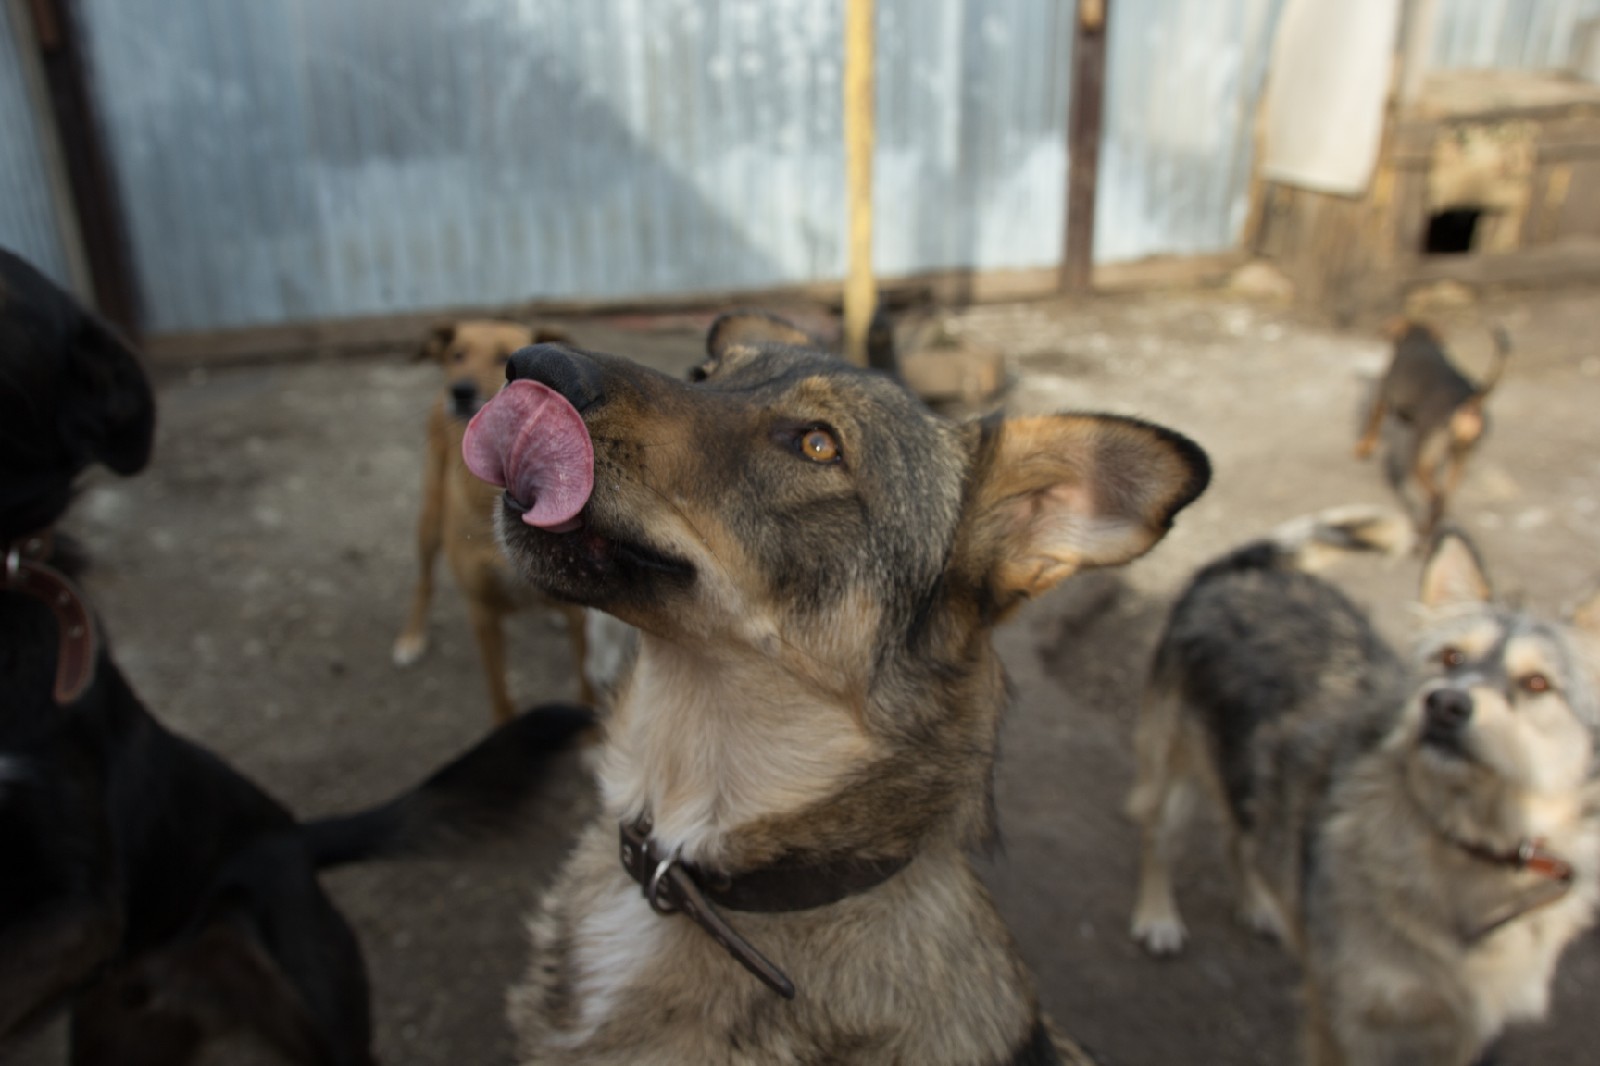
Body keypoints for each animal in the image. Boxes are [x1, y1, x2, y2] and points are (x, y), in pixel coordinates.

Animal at [393, 316, 595, 723]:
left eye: (504, 356)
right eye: (457, 354)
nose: (460, 391)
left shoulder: (579, 620)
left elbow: (585, 684)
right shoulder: (483, 614)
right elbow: (499, 691)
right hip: (429, 519)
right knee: (424, 581)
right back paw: (411, 636)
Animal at [1356, 316, 1504, 534]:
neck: (1420, 338)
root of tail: (1469, 403)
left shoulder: (1383, 397)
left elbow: (1372, 423)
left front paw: (1363, 448)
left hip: (1422, 460)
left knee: (1436, 498)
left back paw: (1424, 530)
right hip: (1460, 457)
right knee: (1445, 498)